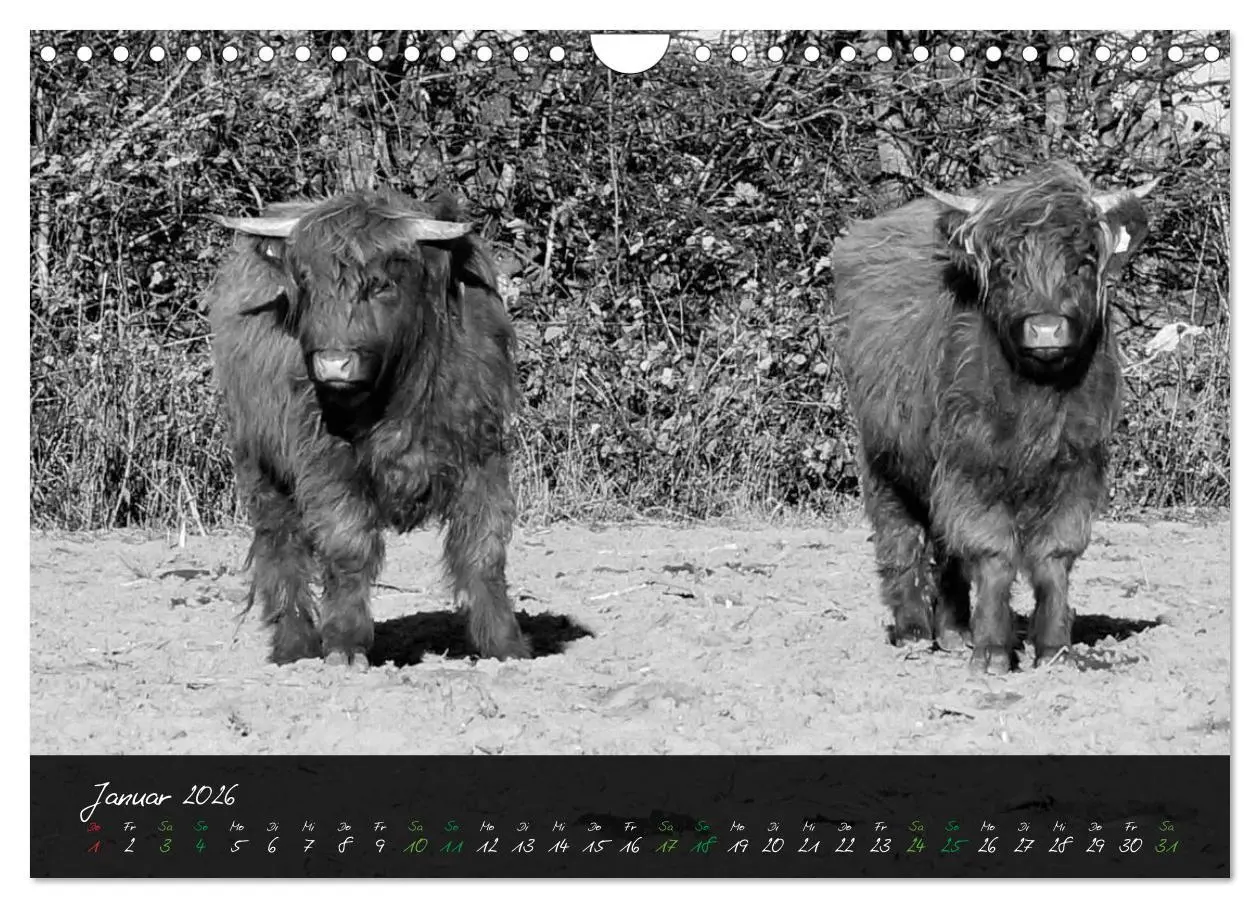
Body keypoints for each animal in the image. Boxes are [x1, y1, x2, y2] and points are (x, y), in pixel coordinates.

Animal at [206, 188, 530, 668]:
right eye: (306, 284)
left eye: (382, 284)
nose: (333, 363)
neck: (399, 395)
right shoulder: (327, 464)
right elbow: (349, 546)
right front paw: (345, 644)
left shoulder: (482, 454)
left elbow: (483, 548)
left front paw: (506, 645)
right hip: (259, 465)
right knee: (280, 545)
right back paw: (294, 646)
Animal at [830, 161, 1158, 674]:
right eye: (1007, 267)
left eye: (1083, 263)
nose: (1046, 328)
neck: (1036, 400)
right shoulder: (972, 465)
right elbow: (992, 553)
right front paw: (992, 652)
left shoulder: (1078, 465)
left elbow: (1055, 555)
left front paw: (1054, 649)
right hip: (883, 455)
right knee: (900, 535)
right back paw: (913, 631)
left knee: (944, 546)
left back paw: (952, 631)